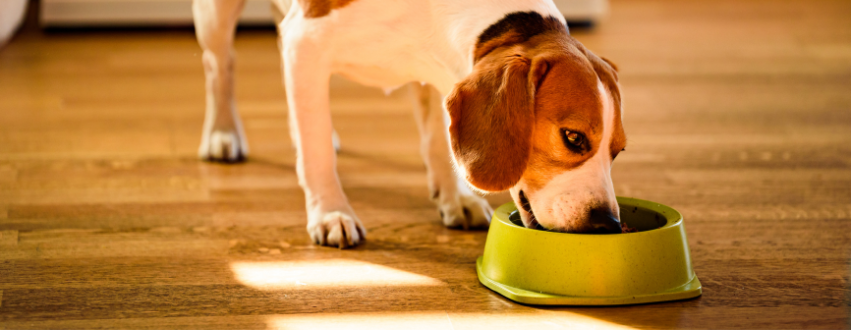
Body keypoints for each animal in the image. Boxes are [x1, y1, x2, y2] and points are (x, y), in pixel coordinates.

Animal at [193, 0, 624, 248]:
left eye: (617, 152)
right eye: (573, 138)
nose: (608, 224)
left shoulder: (439, 72)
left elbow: (437, 140)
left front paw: (454, 198)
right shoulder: (308, 39)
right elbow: (316, 154)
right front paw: (330, 212)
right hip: (217, 15)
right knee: (219, 65)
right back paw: (222, 134)